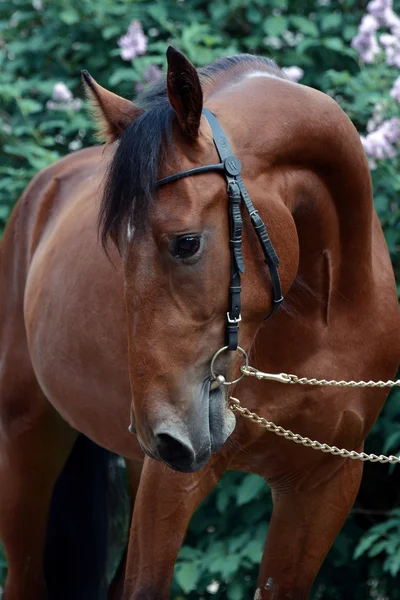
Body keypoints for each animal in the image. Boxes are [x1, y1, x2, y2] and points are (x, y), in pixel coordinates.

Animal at [0, 48, 400, 600]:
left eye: (186, 243)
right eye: (116, 248)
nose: (161, 437)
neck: (320, 320)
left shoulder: (325, 484)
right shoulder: (172, 480)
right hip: (26, 441)